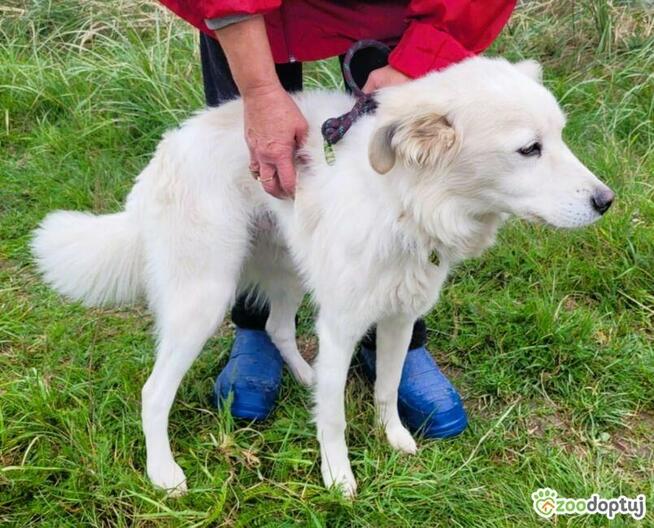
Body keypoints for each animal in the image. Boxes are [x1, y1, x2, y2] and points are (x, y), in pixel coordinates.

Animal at [30, 56, 616, 496]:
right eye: (529, 149)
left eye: (560, 137)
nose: (607, 201)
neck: (404, 204)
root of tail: (168, 146)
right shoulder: (341, 326)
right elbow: (333, 419)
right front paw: (339, 478)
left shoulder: (399, 317)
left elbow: (387, 385)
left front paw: (393, 437)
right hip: (204, 298)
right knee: (155, 391)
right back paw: (164, 473)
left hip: (288, 268)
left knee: (276, 327)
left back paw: (305, 377)